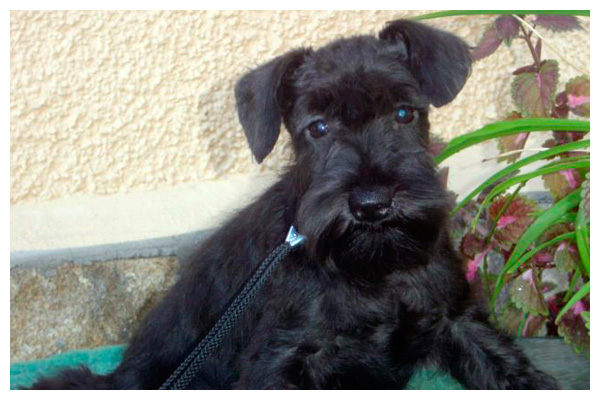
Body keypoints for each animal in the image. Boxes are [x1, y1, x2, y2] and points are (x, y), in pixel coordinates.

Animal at [29, 19, 558, 389]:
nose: (371, 203)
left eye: (405, 113)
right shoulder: (285, 358)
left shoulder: (458, 319)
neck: (373, 272)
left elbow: (509, 368)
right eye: (317, 127)